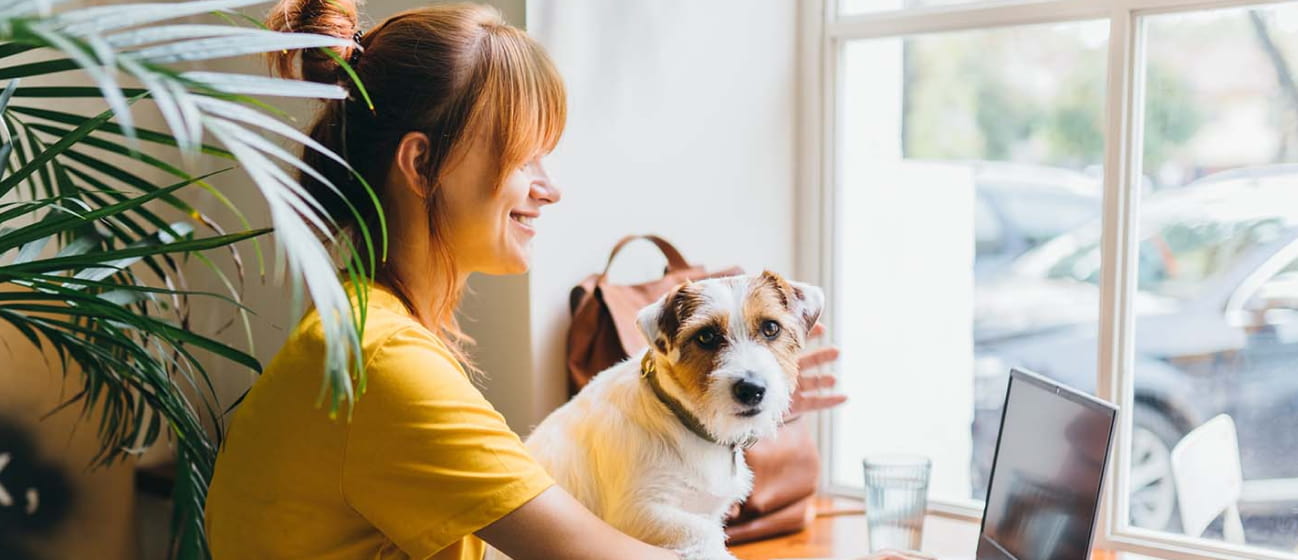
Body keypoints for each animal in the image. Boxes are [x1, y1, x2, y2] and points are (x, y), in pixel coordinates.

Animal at [519, 270, 815, 556]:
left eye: (771, 328)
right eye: (706, 336)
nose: (751, 389)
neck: (681, 420)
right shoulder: (636, 514)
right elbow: (706, 536)